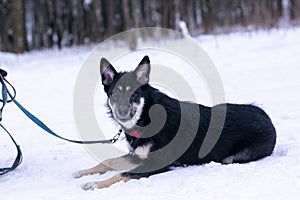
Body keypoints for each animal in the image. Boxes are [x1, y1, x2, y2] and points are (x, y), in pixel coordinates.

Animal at [73, 55, 276, 190]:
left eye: (134, 94)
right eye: (114, 94)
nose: (122, 113)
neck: (146, 116)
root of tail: (267, 116)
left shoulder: (157, 162)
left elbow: (121, 173)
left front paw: (96, 183)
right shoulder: (139, 156)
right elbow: (108, 161)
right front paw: (83, 172)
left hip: (232, 157)